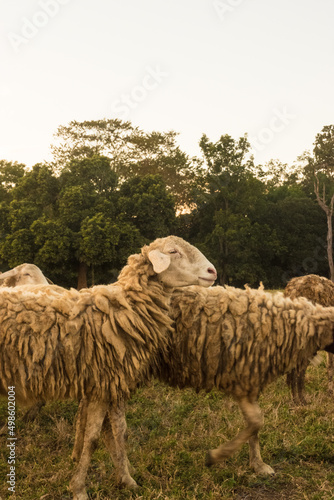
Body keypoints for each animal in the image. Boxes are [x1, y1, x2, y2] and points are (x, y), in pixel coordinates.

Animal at [0, 235, 217, 500]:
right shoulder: (101, 385)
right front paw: (79, 488)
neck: (123, 309)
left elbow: (118, 432)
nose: (212, 271)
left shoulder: (112, 384)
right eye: (173, 251)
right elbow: (93, 438)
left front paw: (127, 479)